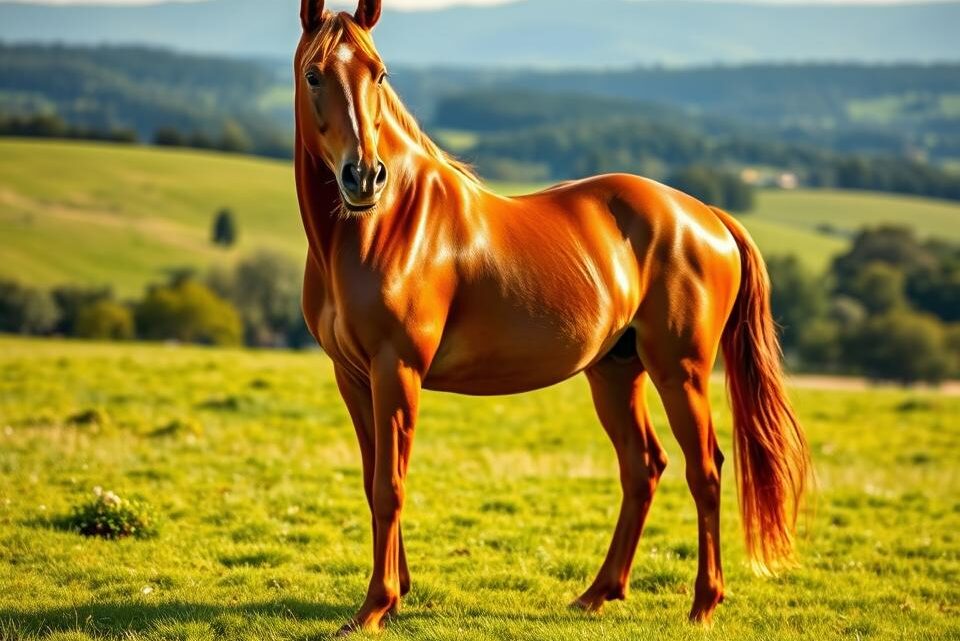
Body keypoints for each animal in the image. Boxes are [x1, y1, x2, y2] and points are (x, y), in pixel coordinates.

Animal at [294, 1, 811, 634]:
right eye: (314, 74)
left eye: (379, 74)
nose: (364, 177)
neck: (381, 227)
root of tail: (706, 216)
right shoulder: (353, 376)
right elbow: (373, 483)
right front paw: (396, 594)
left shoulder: (398, 369)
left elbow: (390, 484)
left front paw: (375, 606)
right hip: (616, 372)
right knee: (644, 467)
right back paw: (598, 593)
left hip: (680, 370)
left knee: (705, 470)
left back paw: (703, 604)